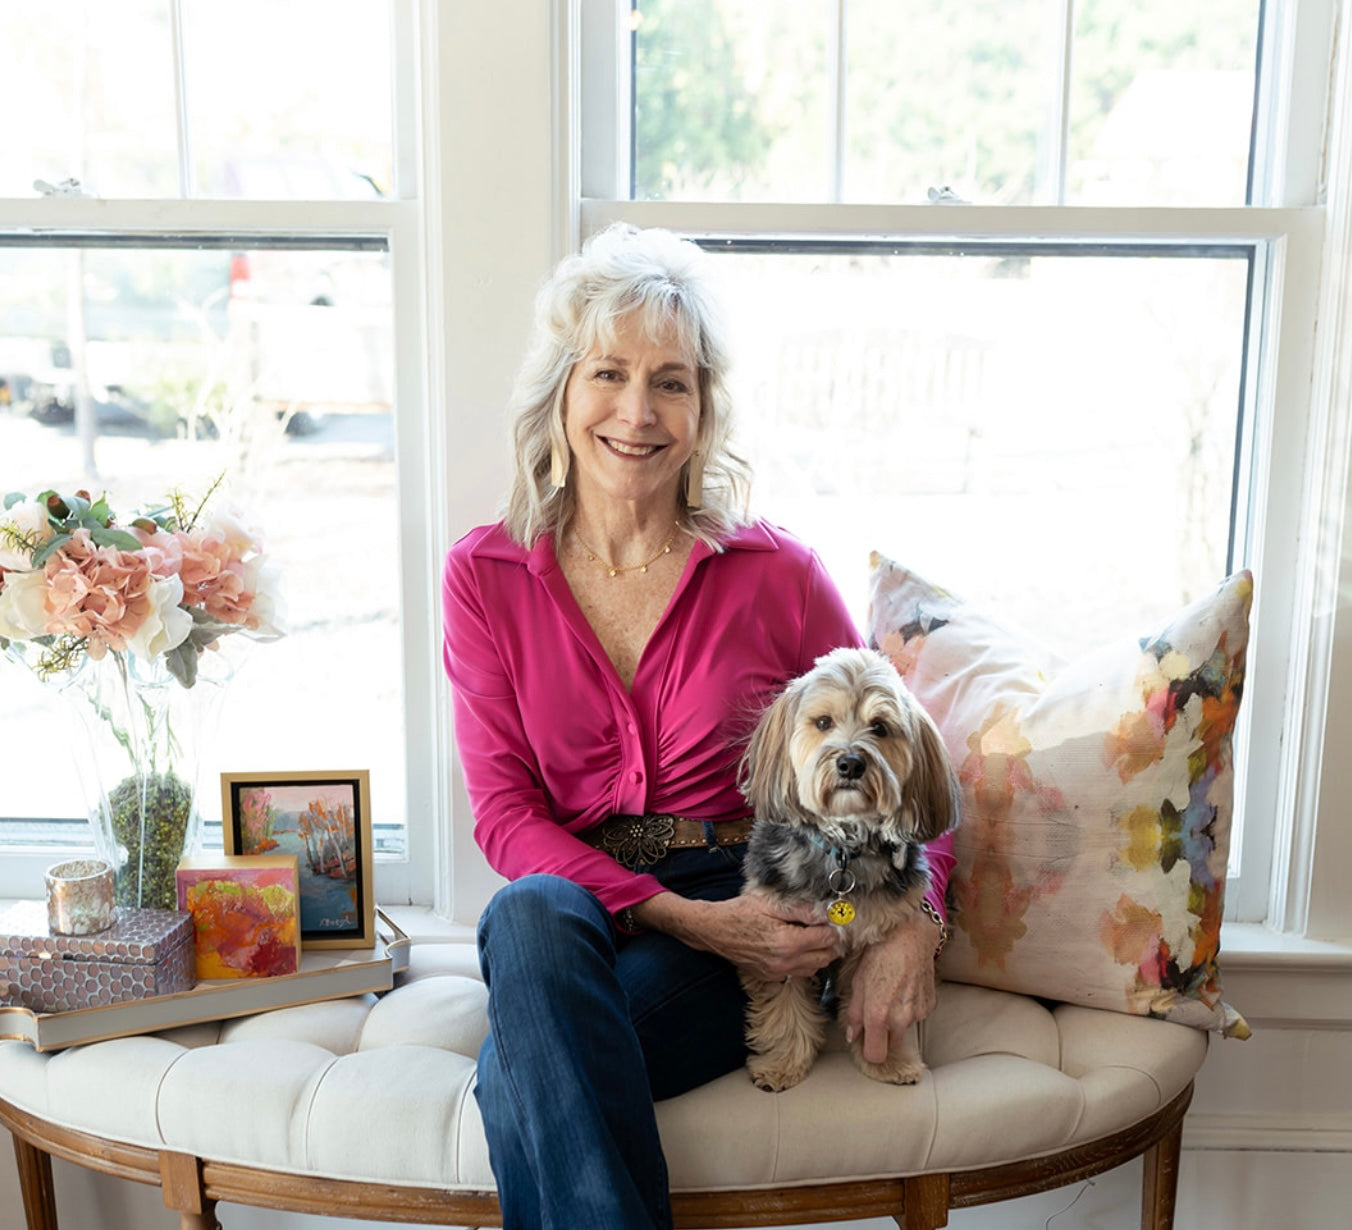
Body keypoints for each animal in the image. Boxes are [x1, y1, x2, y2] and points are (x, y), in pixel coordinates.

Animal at [735, 648, 957, 1092]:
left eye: (880, 727)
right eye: (823, 723)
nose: (851, 763)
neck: (842, 851)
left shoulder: (873, 943)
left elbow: (874, 1005)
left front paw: (886, 1061)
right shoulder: (783, 947)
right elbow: (784, 1009)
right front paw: (782, 1063)